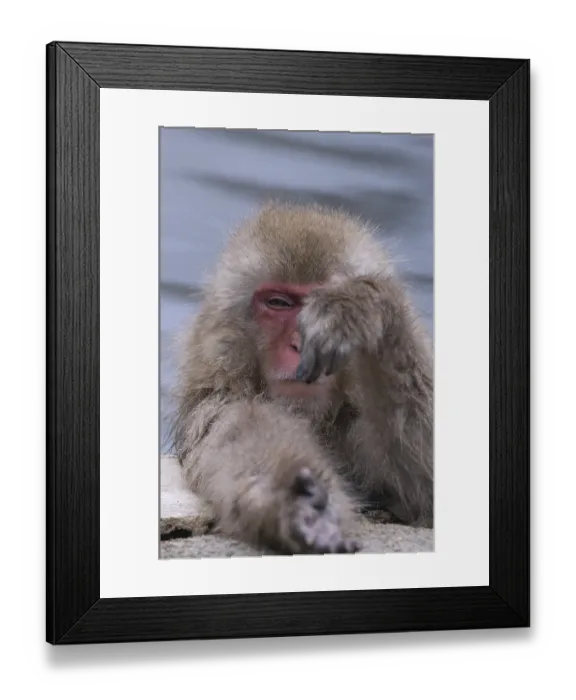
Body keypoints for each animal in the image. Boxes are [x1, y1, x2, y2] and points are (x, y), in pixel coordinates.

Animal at [168, 202, 433, 555]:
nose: (297, 344)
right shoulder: (219, 405)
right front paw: (294, 505)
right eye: (278, 303)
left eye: (318, 298)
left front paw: (360, 306)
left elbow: (424, 488)